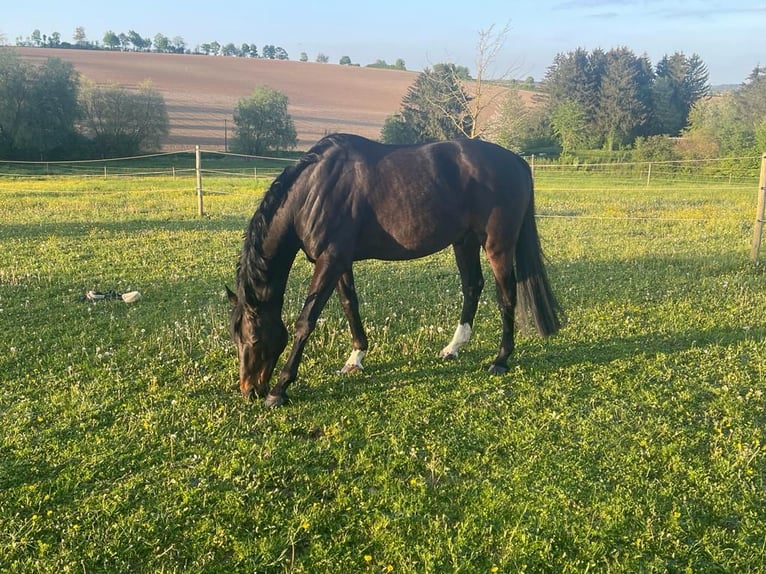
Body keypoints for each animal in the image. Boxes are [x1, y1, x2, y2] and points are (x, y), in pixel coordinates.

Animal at [228, 133, 564, 408]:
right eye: (236, 338)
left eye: (254, 339)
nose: (250, 390)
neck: (314, 190)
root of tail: (516, 161)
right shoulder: (340, 263)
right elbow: (350, 305)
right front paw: (356, 358)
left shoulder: (330, 261)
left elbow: (305, 322)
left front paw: (280, 389)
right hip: (464, 241)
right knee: (472, 286)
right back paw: (453, 347)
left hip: (498, 246)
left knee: (506, 296)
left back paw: (501, 359)